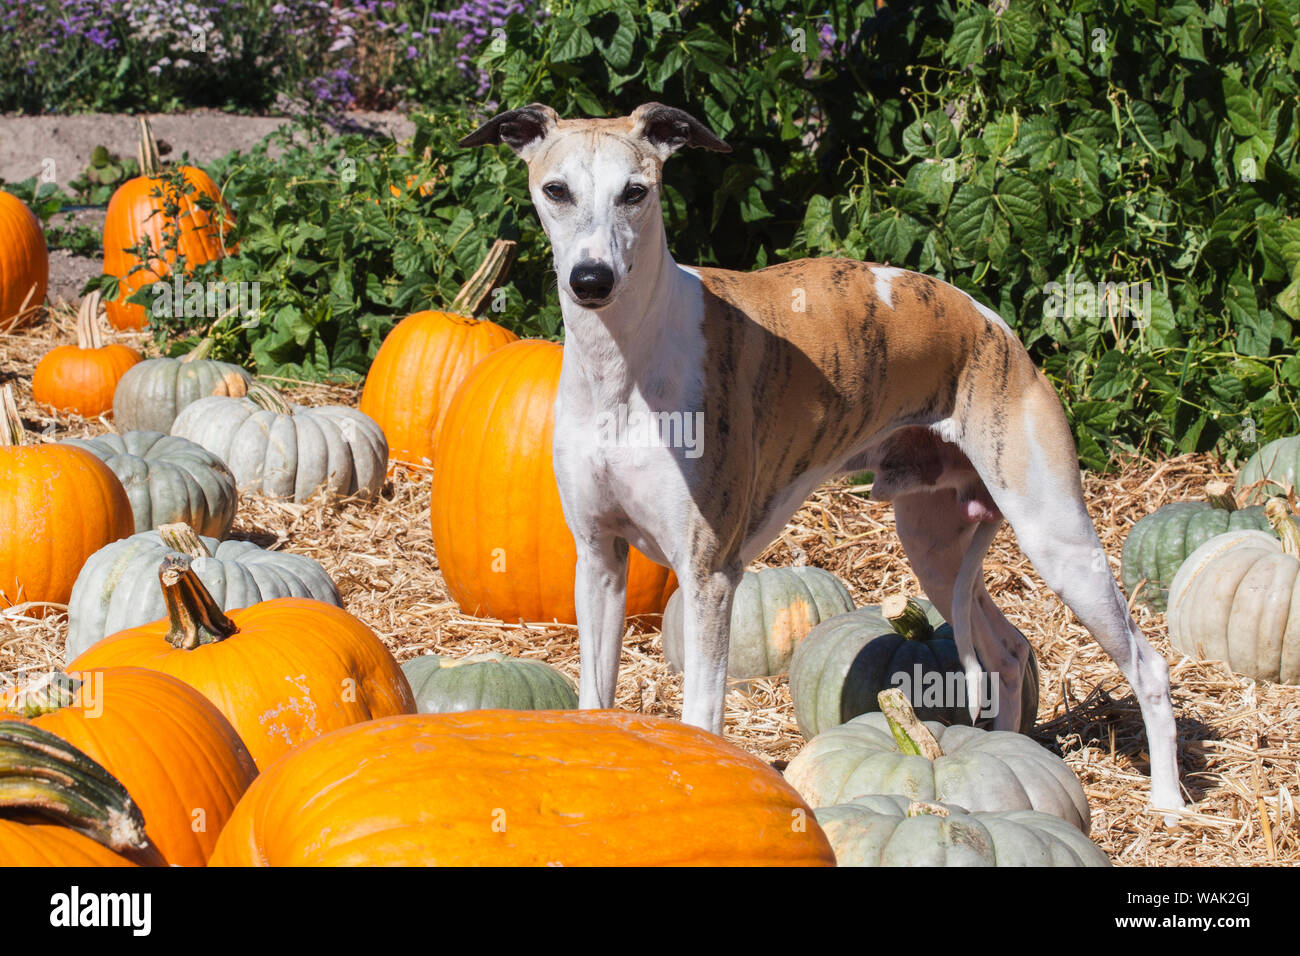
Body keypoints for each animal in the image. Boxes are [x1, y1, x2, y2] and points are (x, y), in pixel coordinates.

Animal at [460, 102, 1190, 816]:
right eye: (556, 190)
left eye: (636, 193)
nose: (591, 280)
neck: (622, 363)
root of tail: (995, 327)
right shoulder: (599, 560)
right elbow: (594, 699)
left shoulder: (708, 574)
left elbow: (701, 714)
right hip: (936, 544)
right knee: (1011, 651)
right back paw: (1012, 755)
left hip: (1058, 539)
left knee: (1147, 665)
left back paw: (1167, 801)